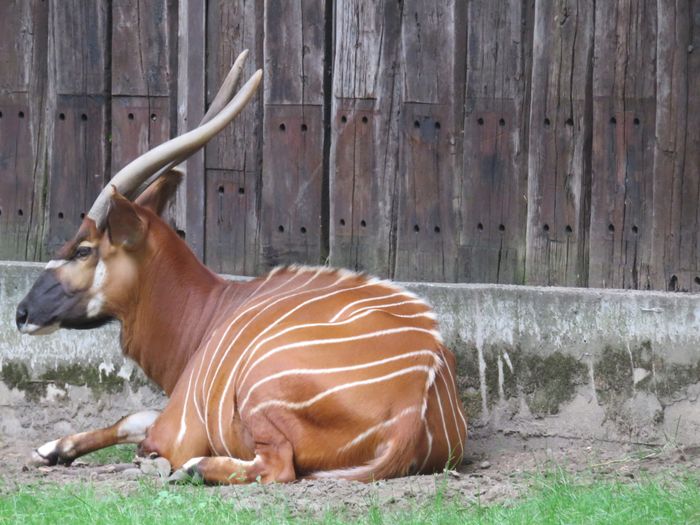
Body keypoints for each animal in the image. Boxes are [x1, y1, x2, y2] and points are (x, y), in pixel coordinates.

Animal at [15, 51, 464, 482]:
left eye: (83, 250)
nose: (22, 312)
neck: (211, 307)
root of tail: (411, 410)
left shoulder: (178, 427)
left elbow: (143, 430)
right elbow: (133, 417)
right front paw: (50, 449)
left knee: (274, 467)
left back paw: (188, 469)